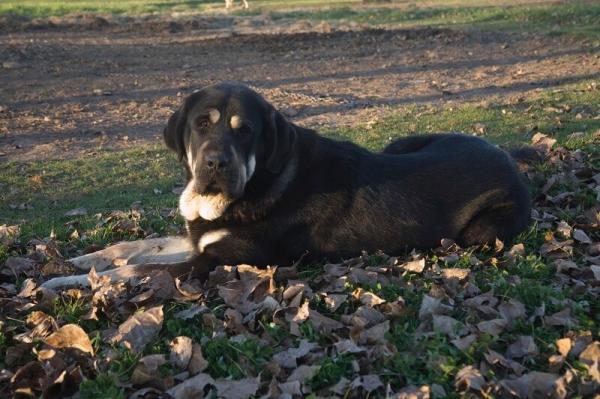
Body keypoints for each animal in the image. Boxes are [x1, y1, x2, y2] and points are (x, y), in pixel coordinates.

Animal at [41, 83, 528, 290]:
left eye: (245, 132)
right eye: (201, 125)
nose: (215, 163)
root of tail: (506, 155)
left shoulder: (214, 262)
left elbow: (135, 270)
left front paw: (65, 281)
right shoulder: (199, 241)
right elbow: (135, 248)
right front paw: (77, 259)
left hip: (480, 233)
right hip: (402, 142)